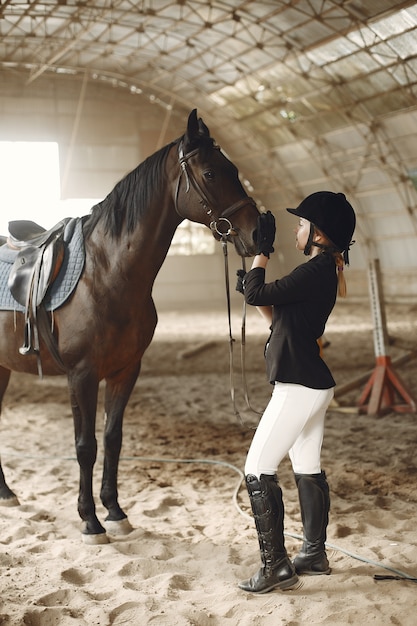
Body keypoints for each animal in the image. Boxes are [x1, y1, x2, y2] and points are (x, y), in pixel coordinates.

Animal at [0, 107, 260, 540]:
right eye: (210, 173)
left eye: (235, 169)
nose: (260, 232)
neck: (107, 273)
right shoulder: (82, 375)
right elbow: (85, 445)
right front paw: (89, 520)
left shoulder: (125, 371)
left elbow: (113, 439)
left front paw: (115, 512)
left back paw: (6, 493)